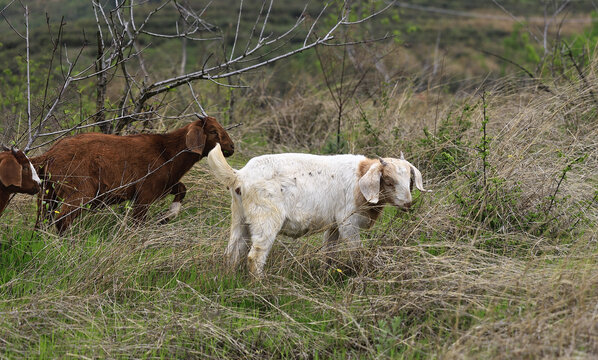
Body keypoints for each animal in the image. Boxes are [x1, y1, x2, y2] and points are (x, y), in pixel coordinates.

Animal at [31, 116, 236, 233]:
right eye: (213, 131)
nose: (232, 147)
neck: (166, 151)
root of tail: (50, 154)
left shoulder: (165, 183)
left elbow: (182, 188)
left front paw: (166, 216)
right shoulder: (145, 193)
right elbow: (138, 221)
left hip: (48, 193)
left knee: (42, 220)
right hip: (80, 191)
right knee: (63, 218)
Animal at [209, 143, 428, 276]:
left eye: (409, 180)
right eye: (388, 181)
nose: (407, 204)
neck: (360, 177)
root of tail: (239, 175)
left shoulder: (334, 225)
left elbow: (328, 252)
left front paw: (325, 274)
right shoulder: (348, 222)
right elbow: (355, 250)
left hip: (239, 218)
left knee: (233, 251)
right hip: (266, 219)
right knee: (255, 256)